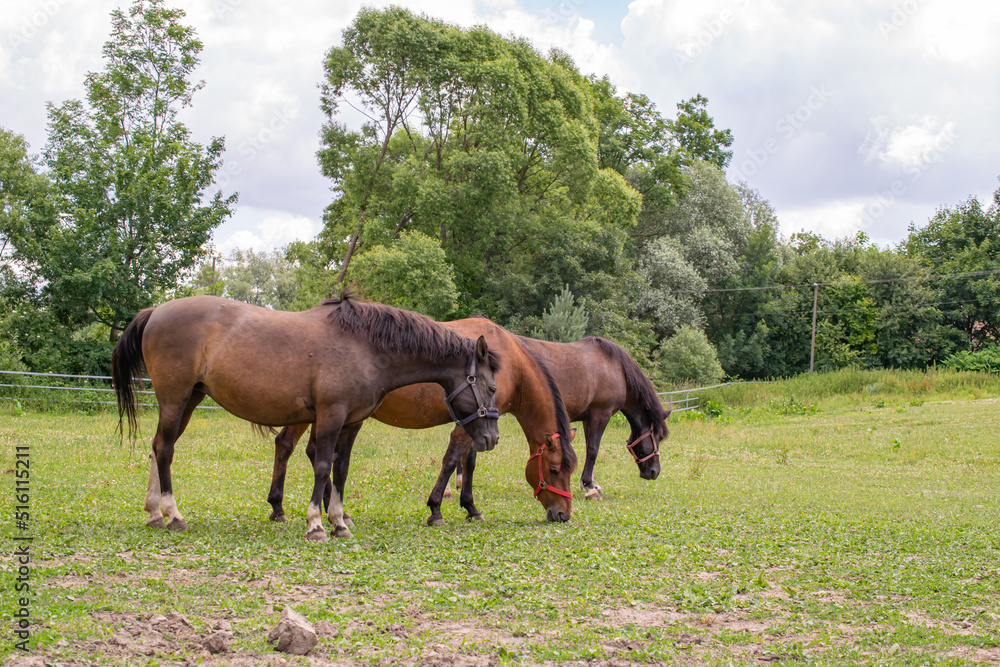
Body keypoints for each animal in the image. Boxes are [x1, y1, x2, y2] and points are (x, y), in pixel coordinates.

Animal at [111, 294, 500, 544]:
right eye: (492, 387)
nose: (492, 438)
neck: (365, 346)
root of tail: (155, 311)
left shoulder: (352, 423)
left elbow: (341, 470)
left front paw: (339, 522)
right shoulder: (330, 416)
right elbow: (323, 466)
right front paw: (316, 524)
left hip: (189, 399)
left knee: (158, 446)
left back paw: (154, 513)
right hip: (175, 399)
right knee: (165, 450)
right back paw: (173, 514)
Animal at [266, 318, 580, 528]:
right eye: (553, 470)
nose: (563, 513)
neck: (511, 364)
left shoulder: (479, 426)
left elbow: (469, 463)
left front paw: (470, 507)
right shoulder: (468, 422)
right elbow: (452, 460)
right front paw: (436, 509)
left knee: (300, 448)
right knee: (292, 446)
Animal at [444, 336, 668, 508]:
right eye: (656, 437)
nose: (654, 472)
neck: (615, 367)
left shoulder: (588, 418)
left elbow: (591, 450)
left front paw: (592, 483)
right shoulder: (600, 414)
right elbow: (593, 450)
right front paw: (590, 488)